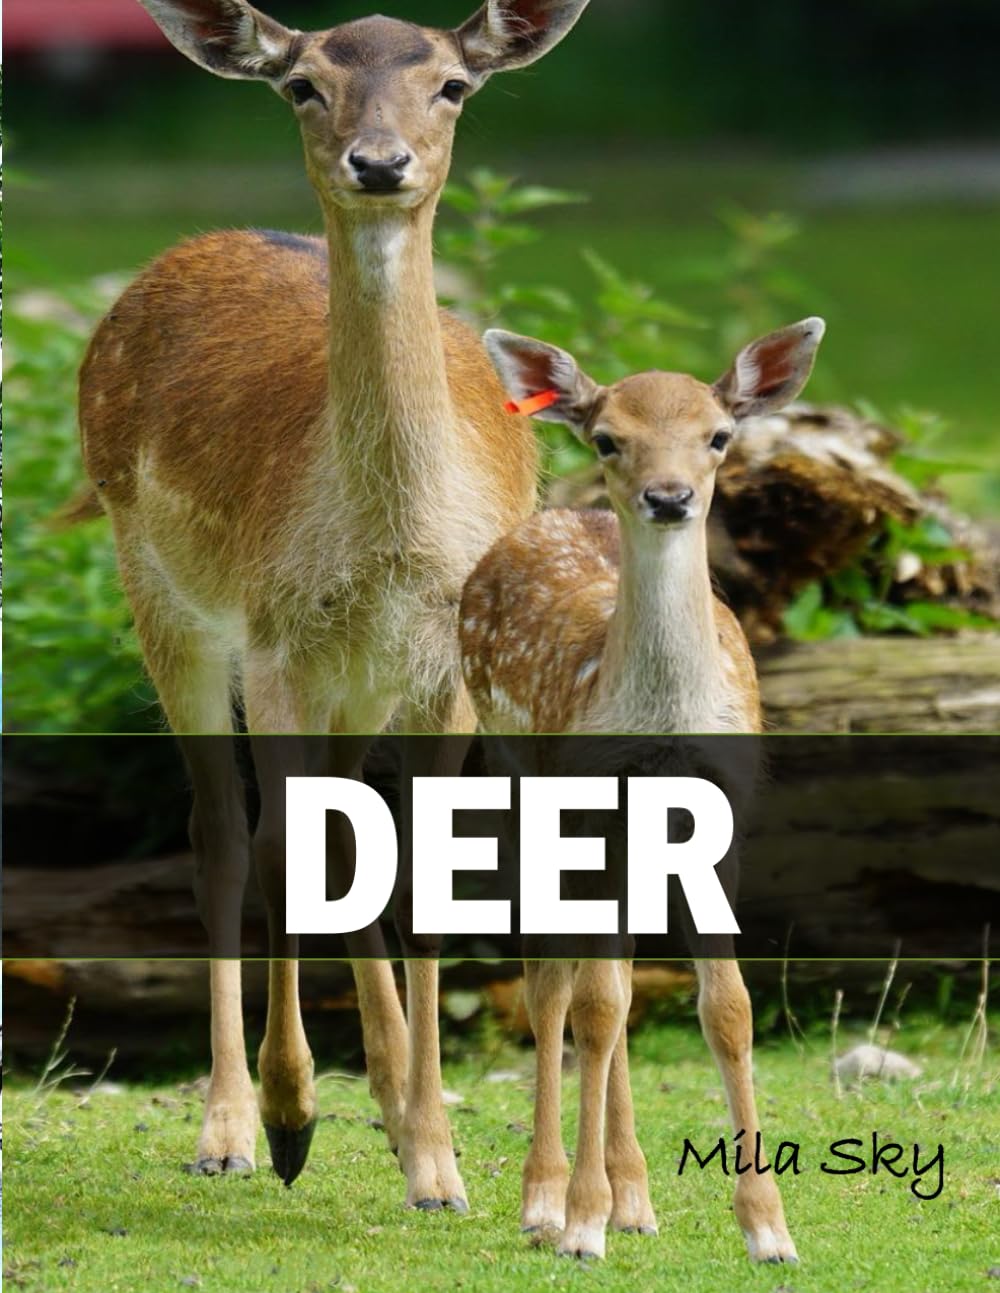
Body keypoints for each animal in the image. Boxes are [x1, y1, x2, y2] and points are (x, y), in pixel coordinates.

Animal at [71, 0, 590, 1210]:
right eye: (303, 83)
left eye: (451, 83)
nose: (380, 162)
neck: (393, 545)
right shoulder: (276, 634)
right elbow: (278, 851)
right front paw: (292, 1117)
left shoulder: (443, 661)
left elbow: (415, 870)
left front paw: (436, 1159)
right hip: (157, 586)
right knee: (220, 830)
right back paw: (228, 1127)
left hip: (356, 678)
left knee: (343, 834)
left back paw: (393, 1110)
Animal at [459, 317, 826, 1260]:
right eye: (607, 437)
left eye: (719, 435)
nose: (668, 496)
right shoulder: (589, 796)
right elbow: (592, 999)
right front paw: (579, 1221)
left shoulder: (722, 819)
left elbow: (728, 1006)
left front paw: (769, 1228)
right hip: (519, 768)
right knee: (555, 979)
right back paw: (549, 1199)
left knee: (612, 981)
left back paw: (634, 1197)